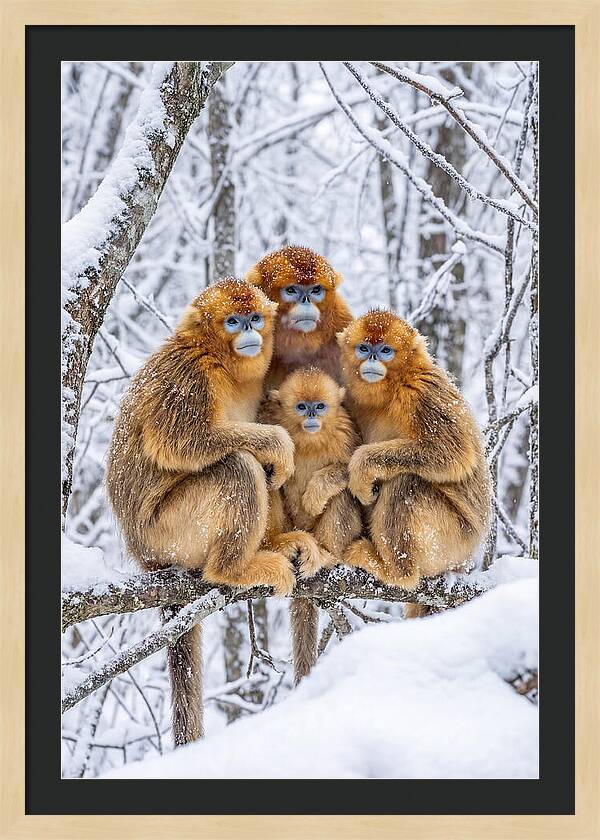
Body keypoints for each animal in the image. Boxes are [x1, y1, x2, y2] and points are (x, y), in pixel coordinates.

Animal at [105, 278, 301, 746]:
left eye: (254, 317)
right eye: (233, 320)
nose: (249, 330)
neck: (222, 363)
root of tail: (144, 556)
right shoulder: (189, 375)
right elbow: (181, 443)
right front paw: (276, 442)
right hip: (169, 533)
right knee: (238, 466)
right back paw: (234, 569)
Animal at [262, 367, 363, 683]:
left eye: (319, 406)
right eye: (300, 406)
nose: (311, 416)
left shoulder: (346, 431)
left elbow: (354, 473)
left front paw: (316, 493)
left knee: (343, 495)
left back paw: (327, 555)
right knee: (268, 479)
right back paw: (279, 544)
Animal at [337, 310, 491, 617]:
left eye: (385, 350)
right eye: (364, 348)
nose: (373, 358)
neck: (393, 388)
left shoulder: (421, 391)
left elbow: (453, 453)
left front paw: (362, 467)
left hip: (453, 541)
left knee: (406, 483)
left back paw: (396, 572)